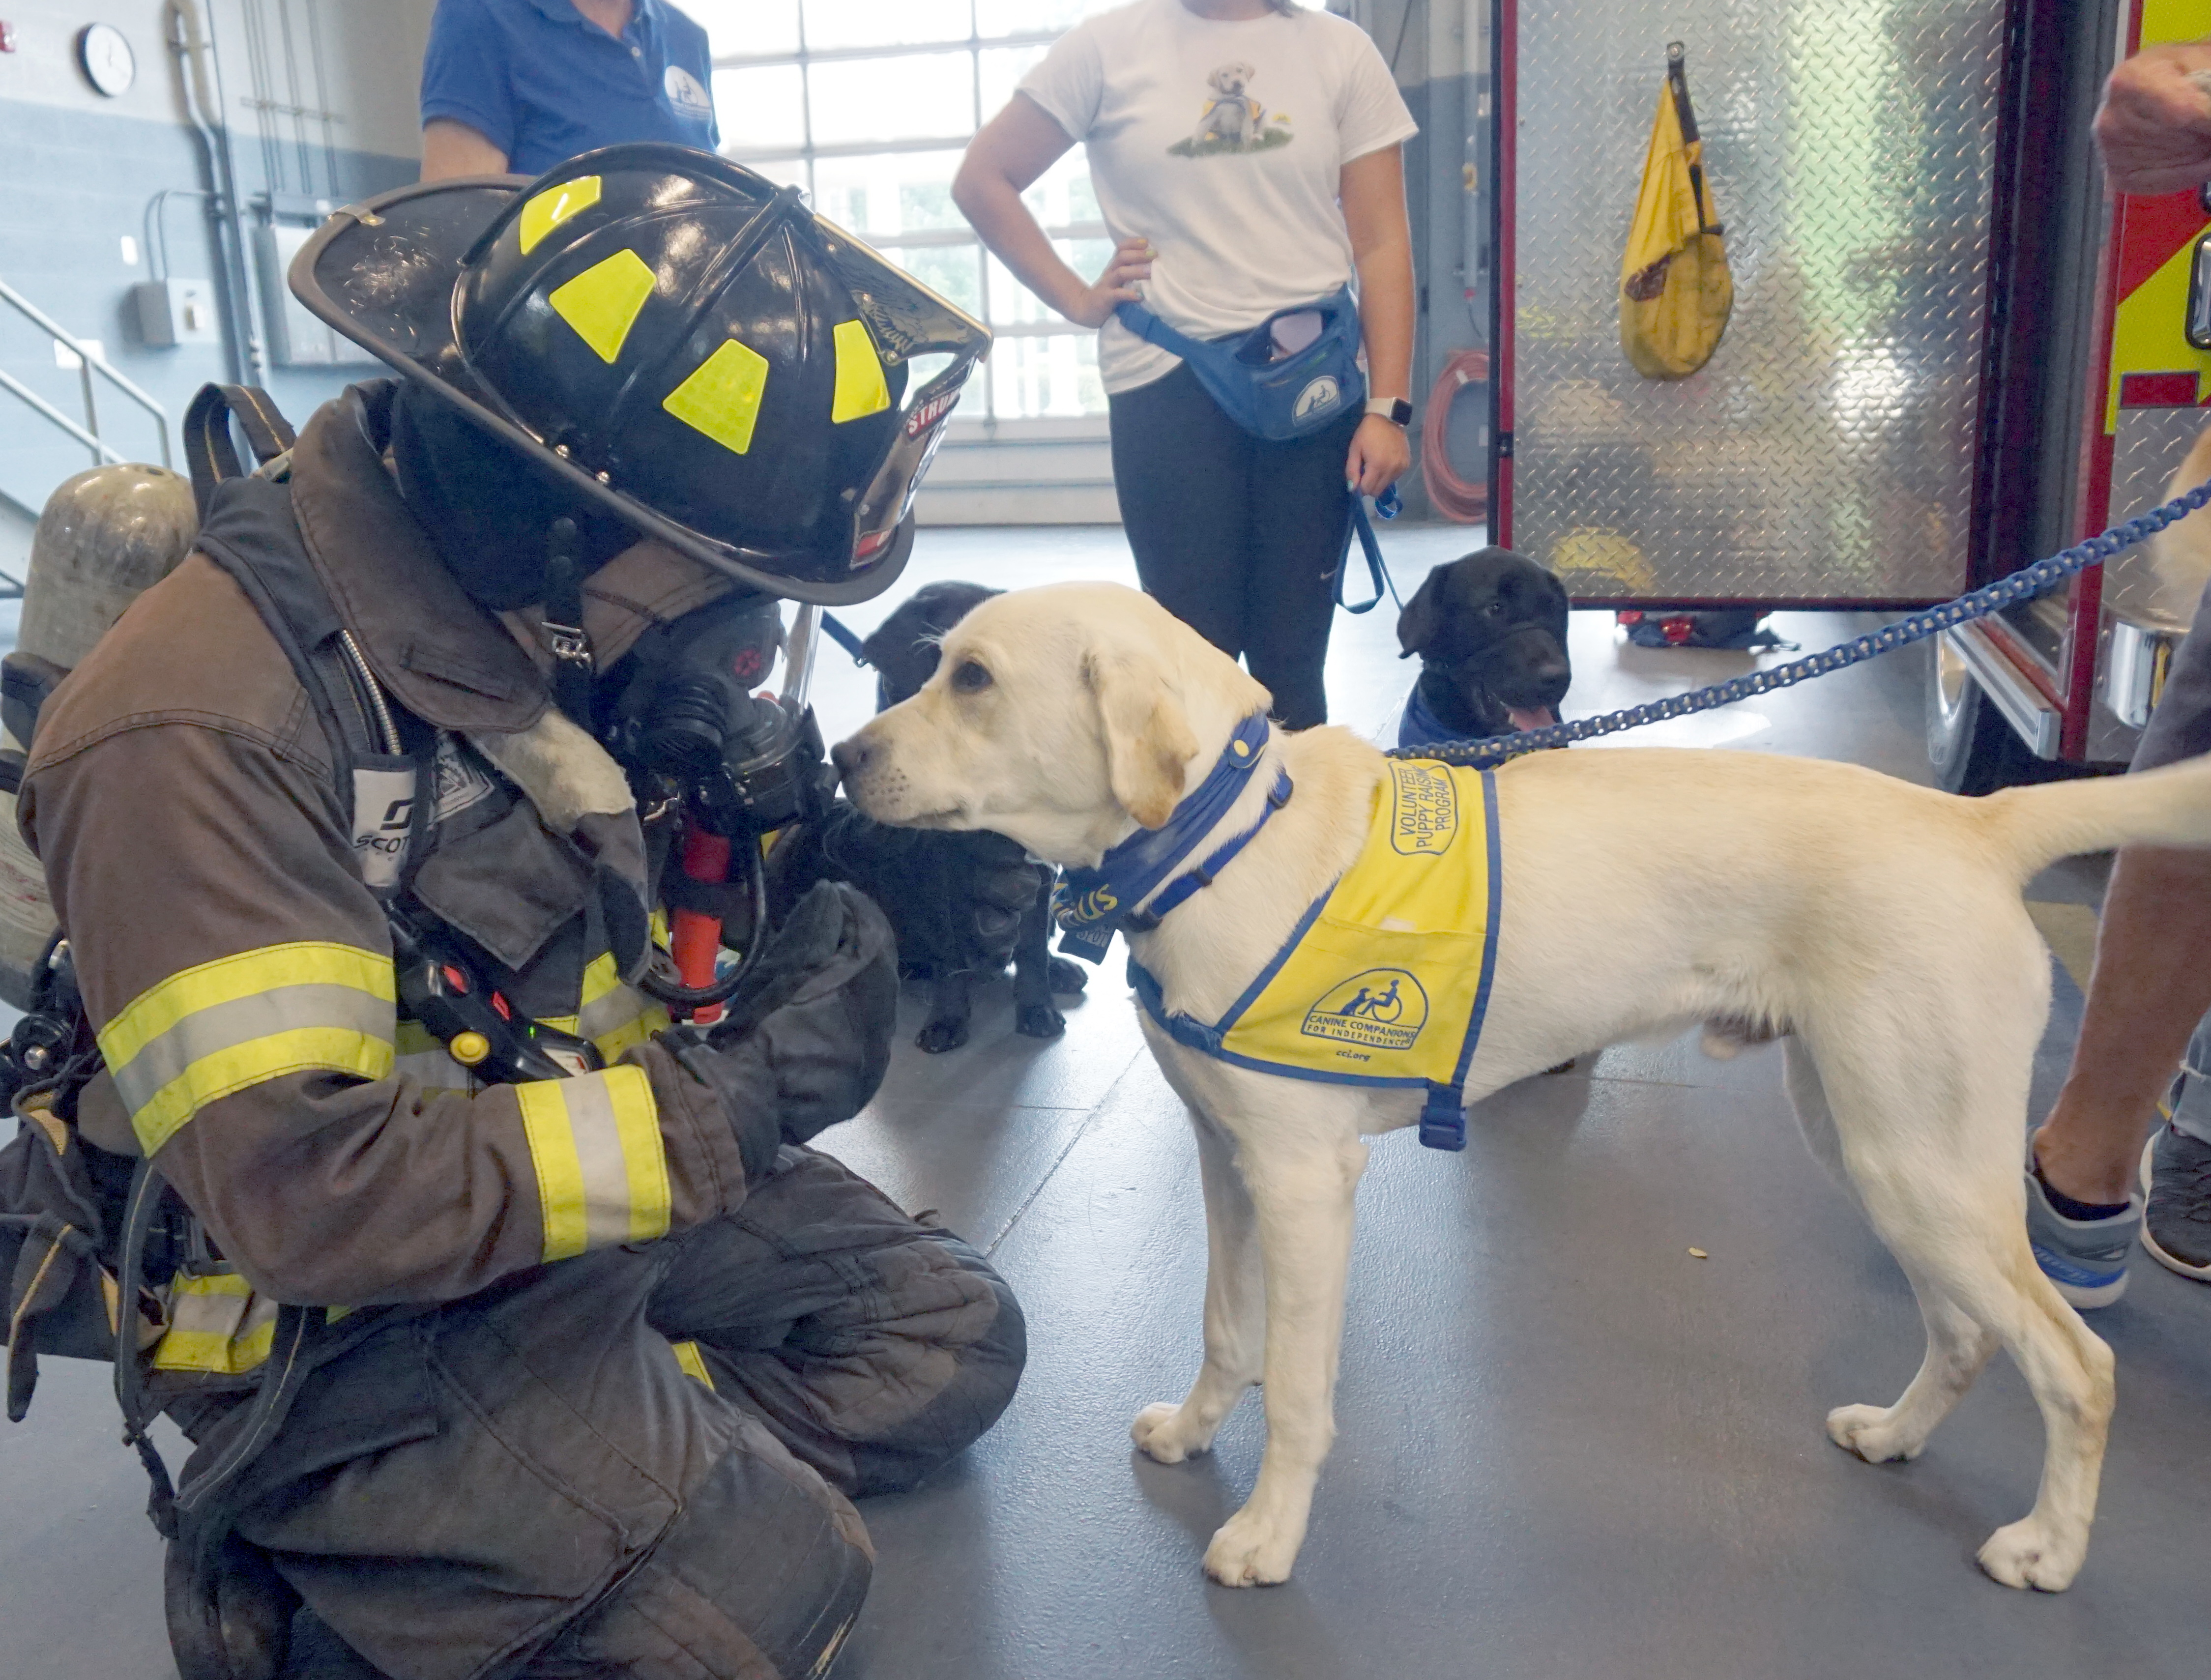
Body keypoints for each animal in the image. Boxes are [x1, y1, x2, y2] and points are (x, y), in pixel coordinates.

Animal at [853, 579, 1088, 1052]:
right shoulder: (935, 874)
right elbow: (949, 956)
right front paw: (947, 1019)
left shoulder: (1037, 869)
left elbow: (1032, 950)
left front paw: (1037, 1008)